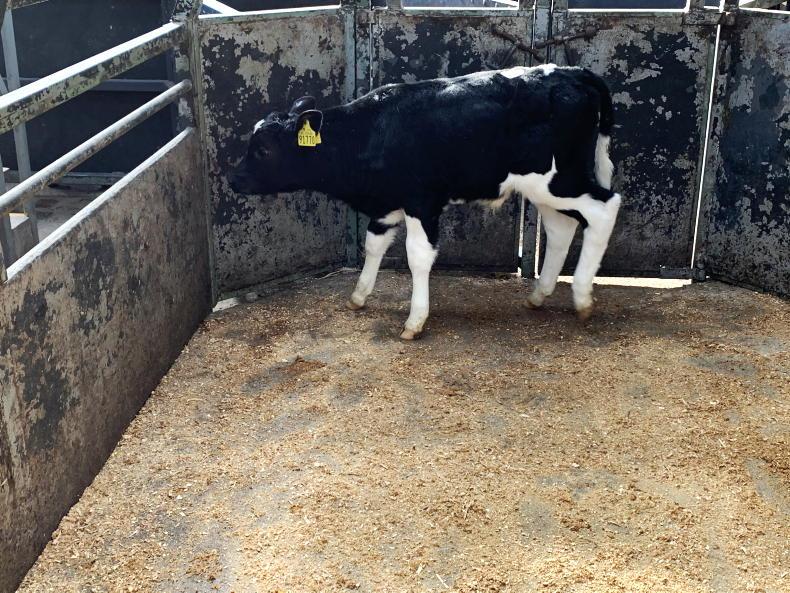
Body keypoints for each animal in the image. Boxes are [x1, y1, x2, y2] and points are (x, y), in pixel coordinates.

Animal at [229, 65, 621, 340]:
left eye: (263, 150)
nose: (233, 179)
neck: (371, 132)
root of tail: (574, 72)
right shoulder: (386, 203)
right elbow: (373, 245)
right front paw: (359, 296)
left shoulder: (422, 202)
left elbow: (417, 257)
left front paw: (414, 320)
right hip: (546, 188)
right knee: (560, 227)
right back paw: (540, 294)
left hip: (561, 179)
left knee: (604, 208)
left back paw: (582, 297)